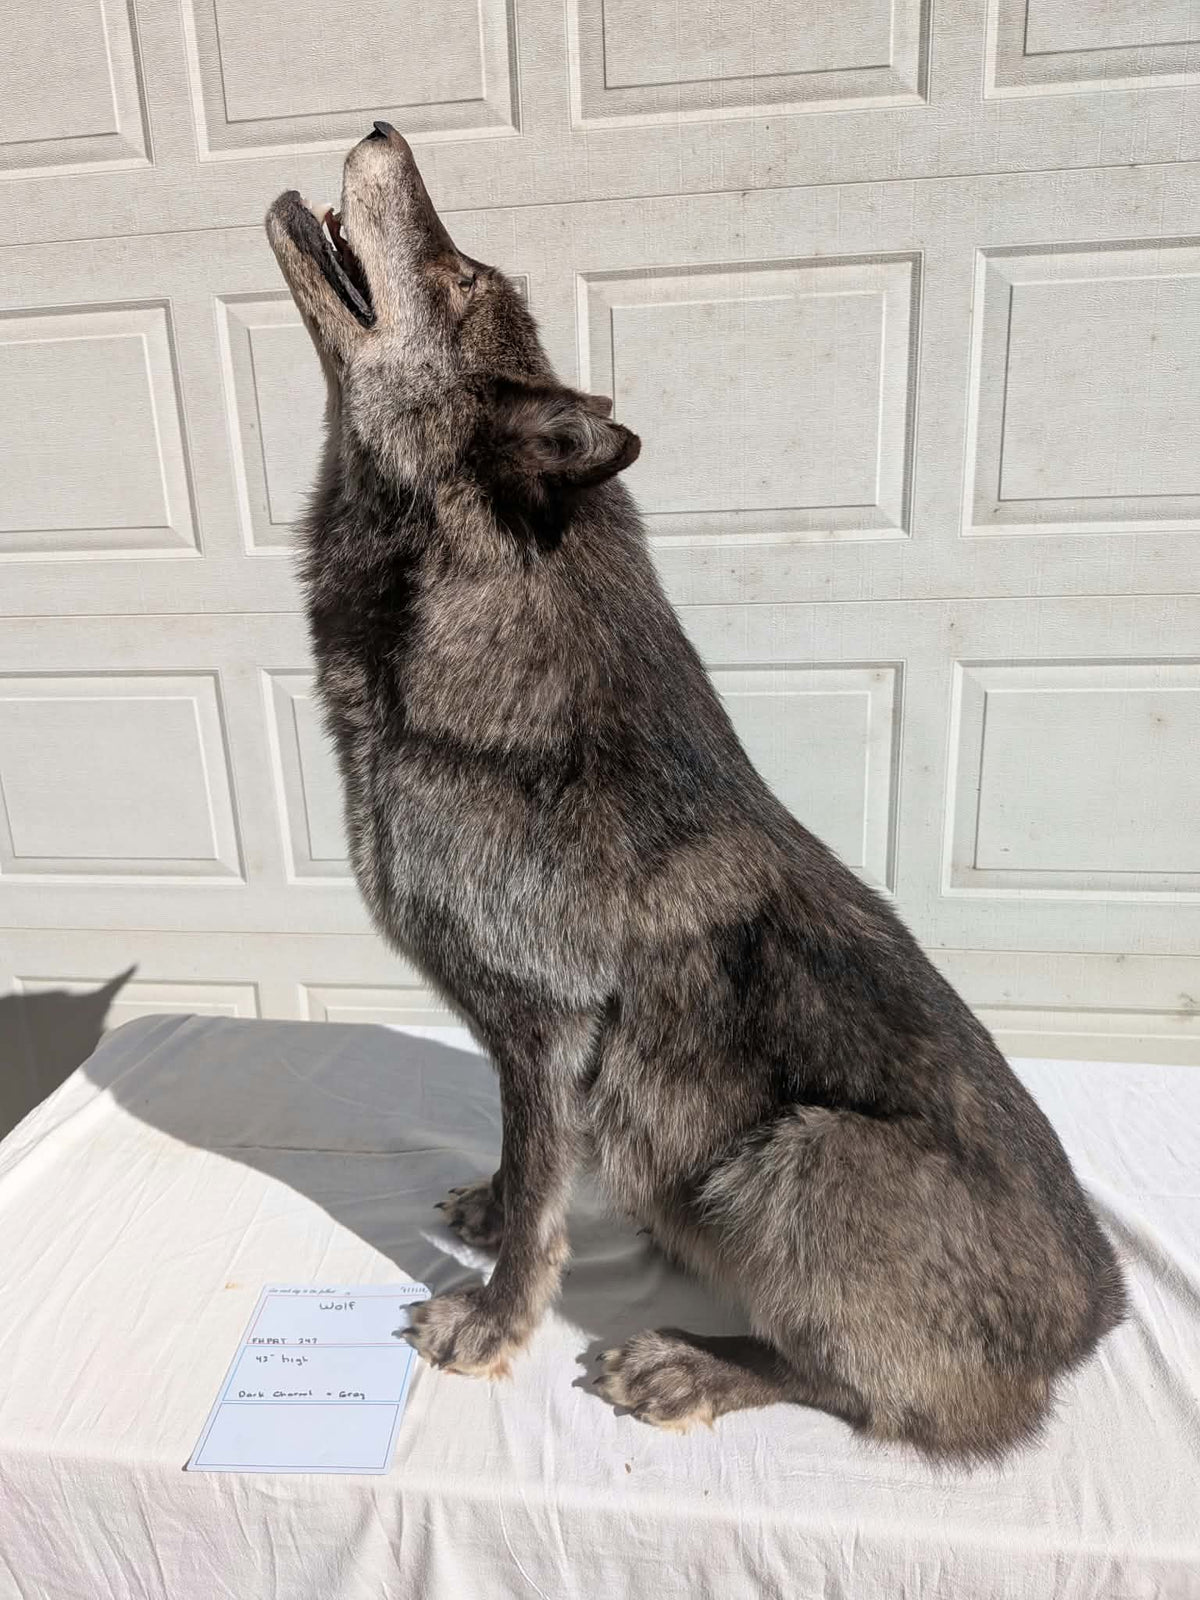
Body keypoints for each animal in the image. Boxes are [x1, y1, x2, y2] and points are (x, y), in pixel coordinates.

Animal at [266, 123, 1124, 1460]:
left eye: (457, 281)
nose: (383, 131)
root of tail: (1092, 1324)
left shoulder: (549, 1031)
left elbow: (541, 1211)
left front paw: (492, 1322)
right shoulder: (521, 1049)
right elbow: (520, 1167)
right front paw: (488, 1206)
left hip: (803, 1157)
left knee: (867, 1393)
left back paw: (692, 1363)